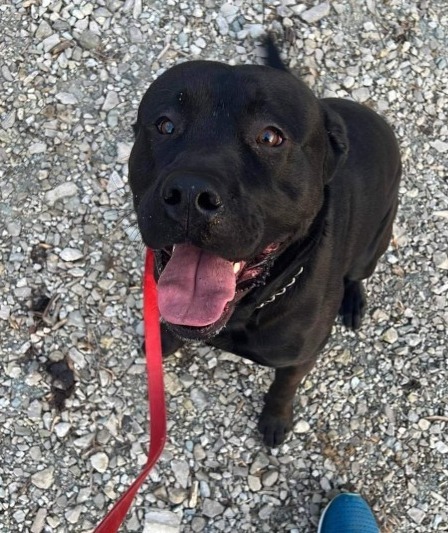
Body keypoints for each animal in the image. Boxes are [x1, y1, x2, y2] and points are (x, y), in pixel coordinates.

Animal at [128, 39, 400, 444]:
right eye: (165, 125)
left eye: (270, 137)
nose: (190, 194)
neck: (244, 309)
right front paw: (162, 341)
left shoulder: (301, 358)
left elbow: (283, 387)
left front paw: (275, 419)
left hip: (374, 244)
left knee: (357, 274)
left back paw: (352, 302)